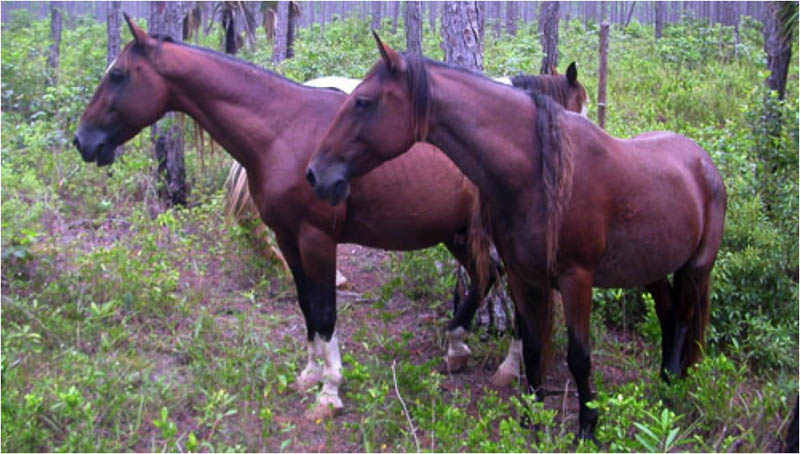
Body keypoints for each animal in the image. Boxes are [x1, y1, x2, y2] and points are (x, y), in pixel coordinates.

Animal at [305, 34, 727, 439]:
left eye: (363, 102)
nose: (315, 174)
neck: (536, 176)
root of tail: (703, 162)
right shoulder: (524, 276)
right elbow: (533, 347)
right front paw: (531, 418)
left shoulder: (576, 279)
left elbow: (579, 356)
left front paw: (587, 427)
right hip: (652, 268)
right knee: (669, 313)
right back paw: (666, 378)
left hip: (695, 269)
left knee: (685, 317)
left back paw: (672, 387)